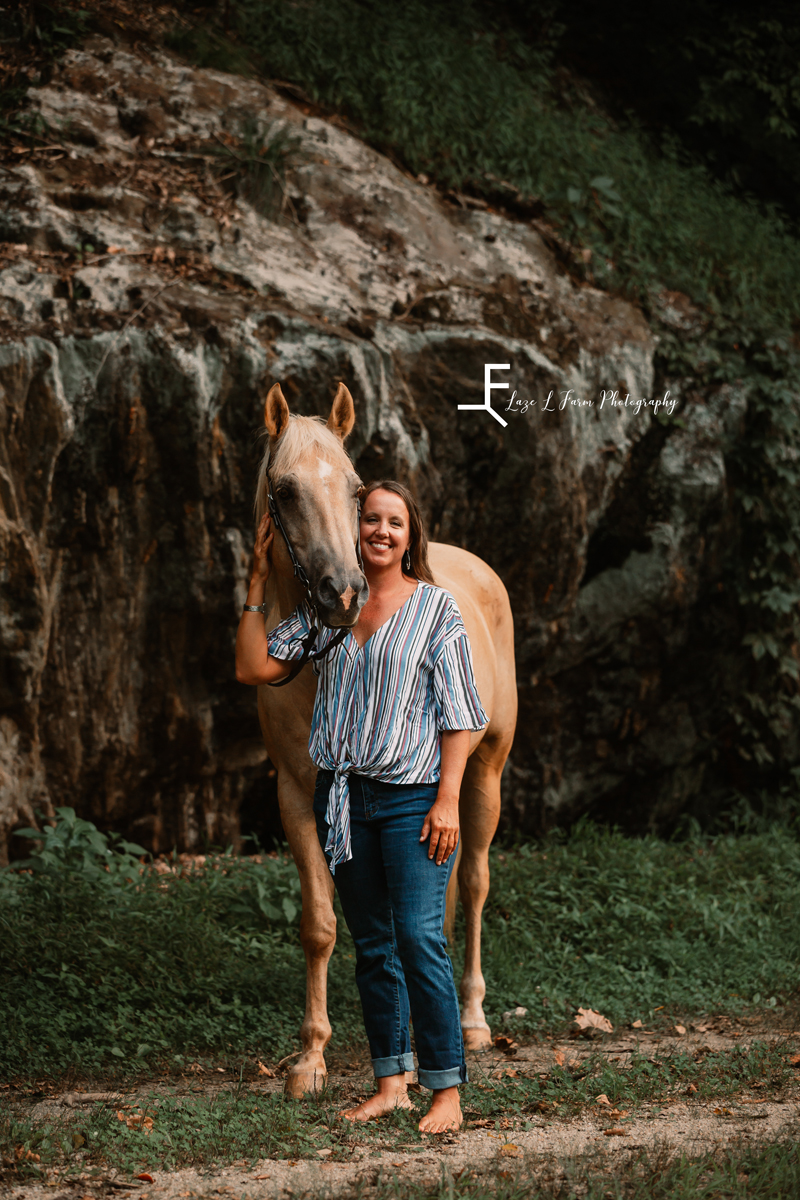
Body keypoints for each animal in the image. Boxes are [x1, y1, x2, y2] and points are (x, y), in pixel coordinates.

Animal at [256, 384, 520, 1099]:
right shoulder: (297, 797)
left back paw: (475, 1020)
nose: (343, 593)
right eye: (284, 489)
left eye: (354, 488)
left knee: (475, 883)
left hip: (486, 774)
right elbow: (320, 925)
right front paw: (311, 1058)